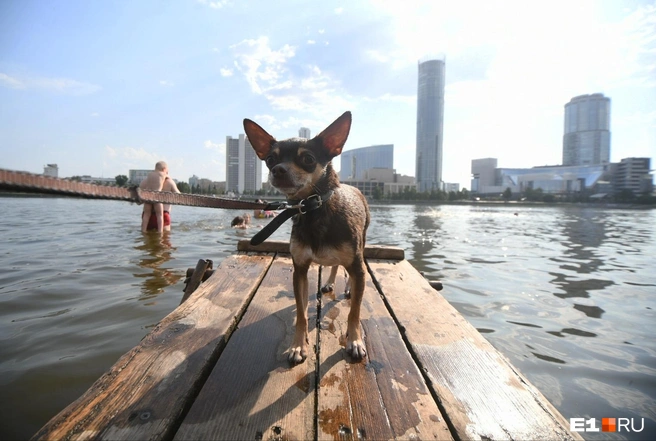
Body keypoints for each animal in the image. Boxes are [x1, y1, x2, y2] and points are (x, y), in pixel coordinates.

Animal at [245, 111, 372, 362]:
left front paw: (354, 341)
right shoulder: (300, 270)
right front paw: (297, 346)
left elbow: (354, 312)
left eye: (308, 159)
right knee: (334, 265)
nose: (278, 170)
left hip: (360, 246)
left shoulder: (355, 263)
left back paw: (349, 287)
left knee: (351, 273)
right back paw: (330, 282)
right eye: (270, 159)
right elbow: (302, 314)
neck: (312, 207)